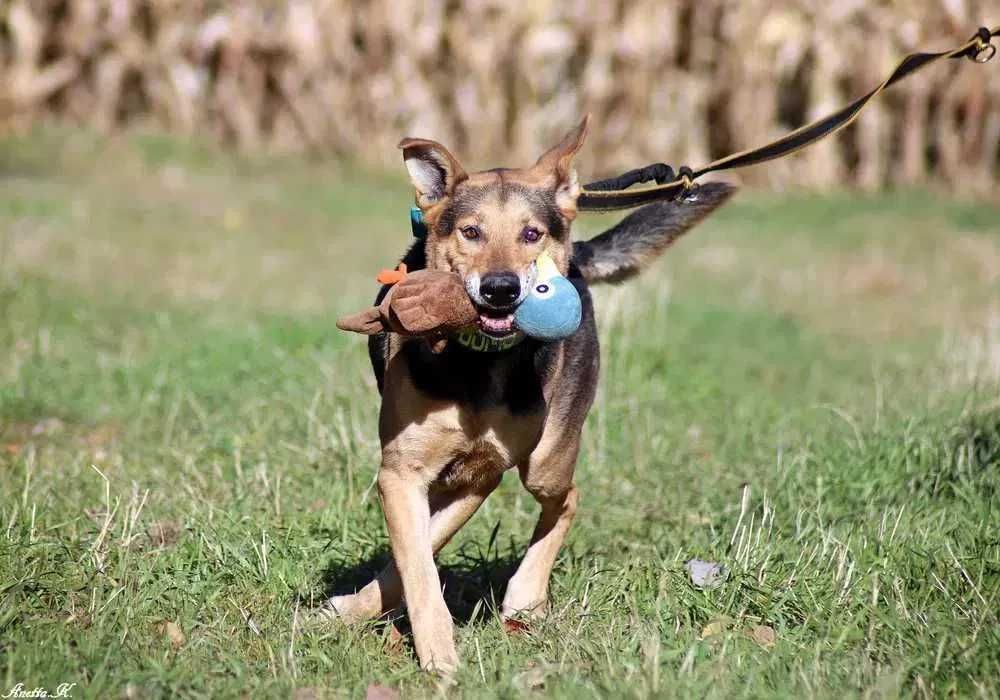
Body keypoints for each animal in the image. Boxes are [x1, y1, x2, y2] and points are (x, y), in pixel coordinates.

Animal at [320, 115, 736, 672]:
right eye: (471, 231)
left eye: (531, 234)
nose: (501, 289)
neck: (480, 360)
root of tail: (576, 259)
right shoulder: (403, 472)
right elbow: (417, 562)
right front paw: (426, 645)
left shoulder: (481, 475)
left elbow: (421, 553)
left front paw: (431, 650)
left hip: (548, 456)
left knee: (568, 496)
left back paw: (525, 594)